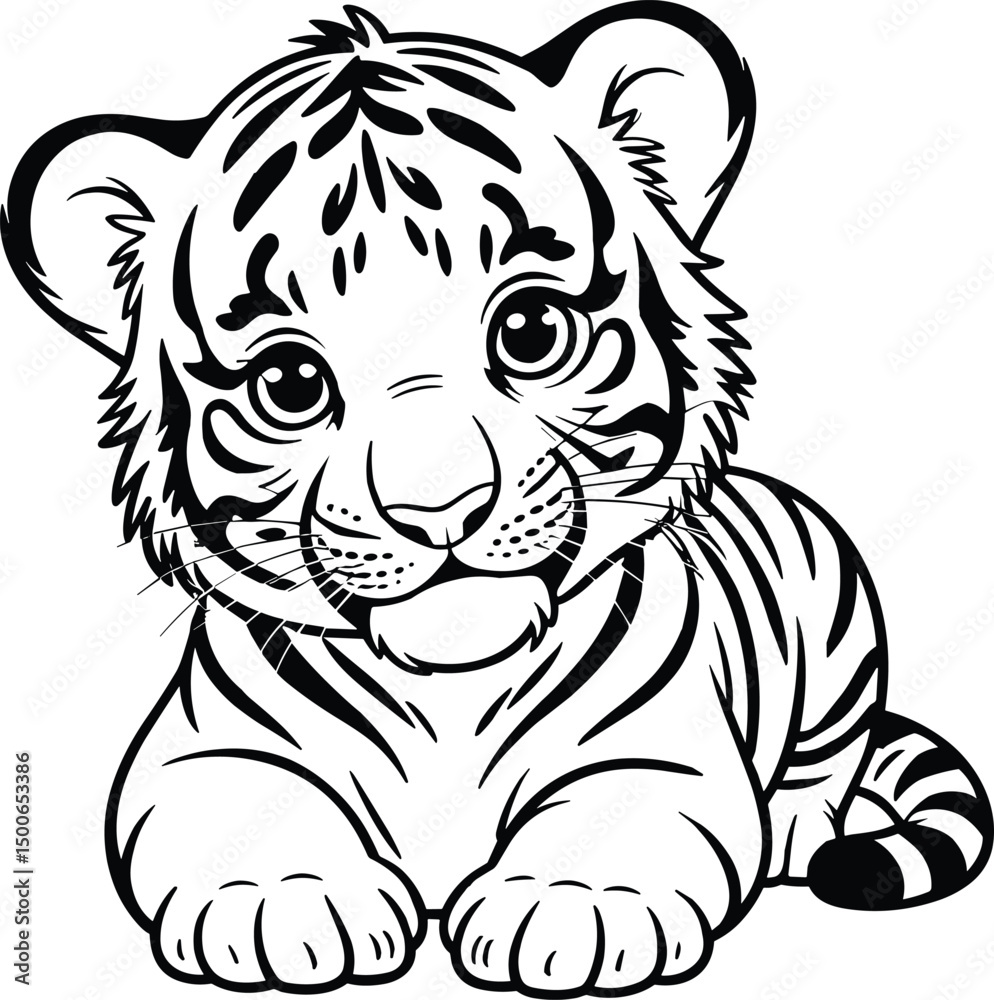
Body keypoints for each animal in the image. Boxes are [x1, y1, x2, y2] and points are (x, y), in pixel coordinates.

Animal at [3, 2, 990, 995]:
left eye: (531, 329)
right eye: (289, 384)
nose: (438, 506)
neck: (449, 685)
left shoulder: (655, 746)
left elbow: (618, 809)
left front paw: (570, 905)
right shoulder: (207, 743)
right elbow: (232, 799)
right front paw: (287, 898)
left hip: (838, 641)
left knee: (824, 767)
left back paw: (792, 829)